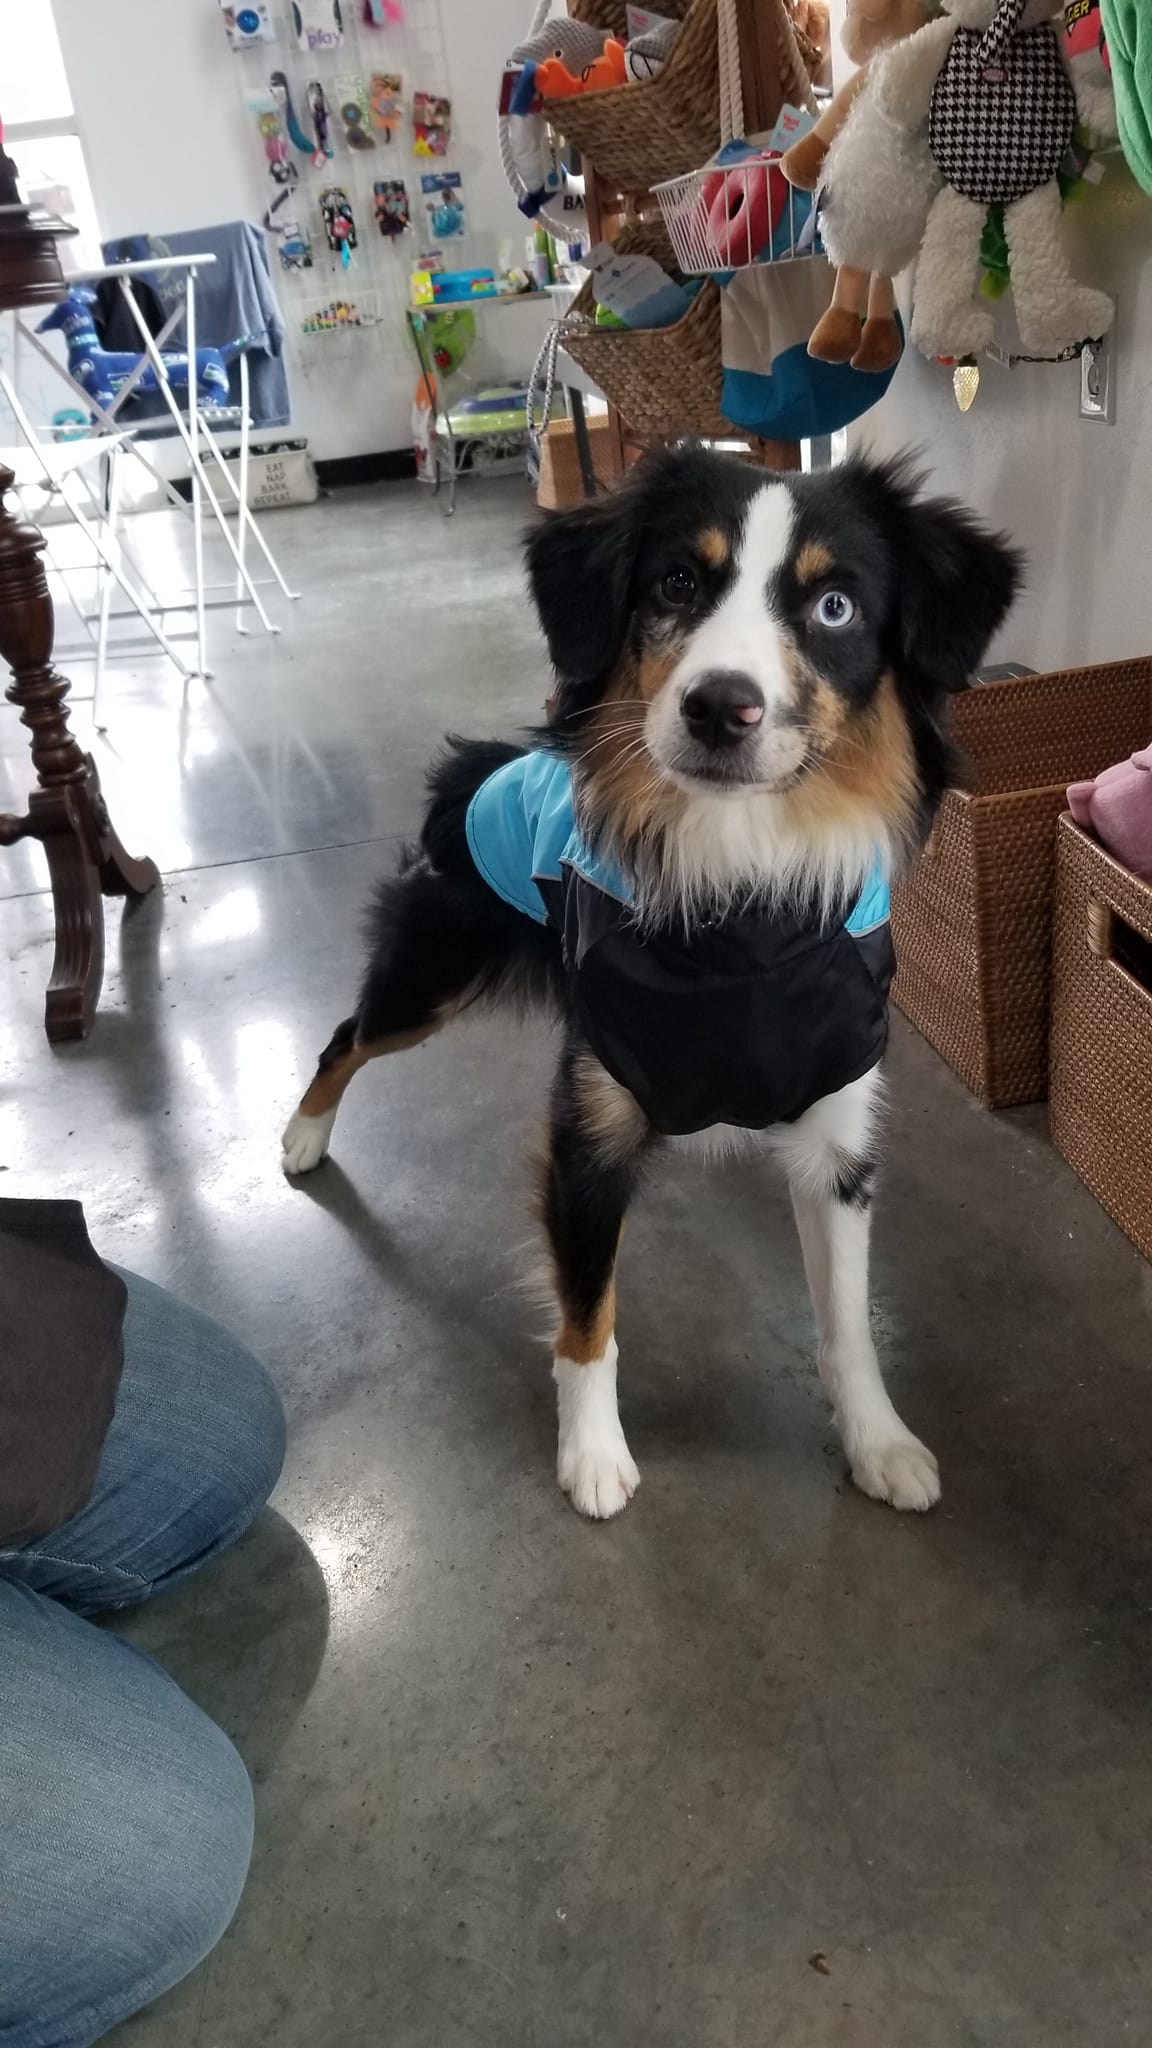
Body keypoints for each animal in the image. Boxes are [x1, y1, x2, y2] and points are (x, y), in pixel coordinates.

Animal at [282, 445, 1019, 1520]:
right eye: (676, 583)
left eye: (835, 607)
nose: (720, 706)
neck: (741, 908)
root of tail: (481, 768)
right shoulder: (591, 1123)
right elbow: (588, 1315)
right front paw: (592, 1455)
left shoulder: (837, 1134)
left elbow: (848, 1322)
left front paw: (879, 1442)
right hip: (431, 975)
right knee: (347, 1036)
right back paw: (302, 1137)